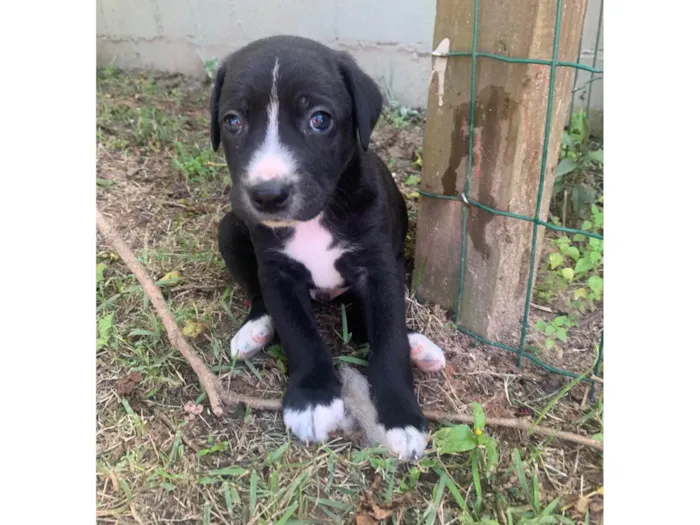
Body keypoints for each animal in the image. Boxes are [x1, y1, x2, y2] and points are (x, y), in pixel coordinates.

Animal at [211, 34, 446, 458]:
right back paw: (255, 329)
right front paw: (312, 399)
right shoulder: (278, 273)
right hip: (230, 229)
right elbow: (299, 332)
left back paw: (418, 346)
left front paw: (401, 417)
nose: (268, 195)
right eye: (233, 122)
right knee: (257, 295)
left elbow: (388, 337)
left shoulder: (379, 269)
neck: (315, 218)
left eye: (319, 119)